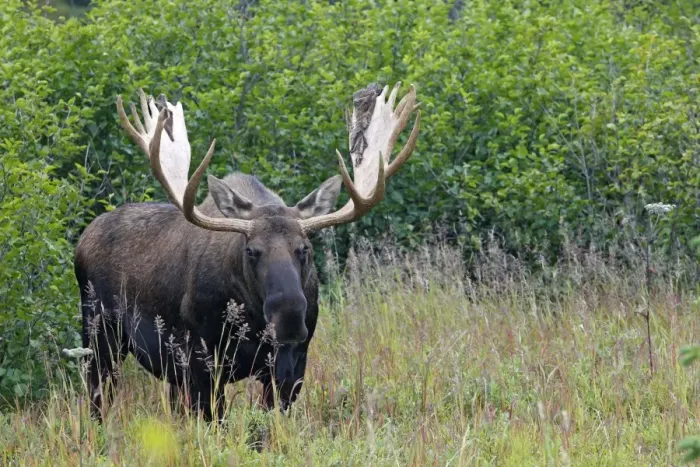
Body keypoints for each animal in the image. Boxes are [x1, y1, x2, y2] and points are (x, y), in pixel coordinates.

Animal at [74, 81, 420, 422]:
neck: (251, 317)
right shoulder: (201, 359)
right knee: (97, 402)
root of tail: (83, 238)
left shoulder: (292, 363)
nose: (289, 317)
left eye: (305, 248)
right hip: (100, 337)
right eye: (251, 250)